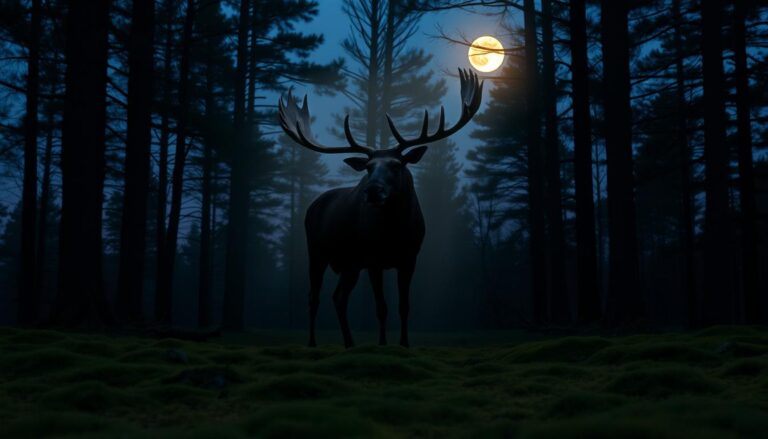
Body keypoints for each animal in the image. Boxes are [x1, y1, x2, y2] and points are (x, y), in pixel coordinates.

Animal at [278, 69, 483, 348]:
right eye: (368, 167)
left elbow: (404, 306)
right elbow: (381, 307)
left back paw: (349, 342)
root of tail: (313, 205)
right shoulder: (373, 258)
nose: (372, 190)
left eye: (396, 165)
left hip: (350, 264)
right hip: (317, 252)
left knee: (338, 297)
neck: (394, 232)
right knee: (314, 296)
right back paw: (312, 342)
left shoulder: (410, 257)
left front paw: (404, 343)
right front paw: (383, 344)